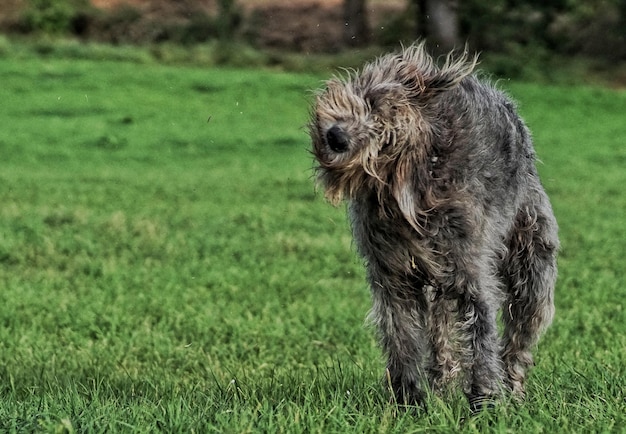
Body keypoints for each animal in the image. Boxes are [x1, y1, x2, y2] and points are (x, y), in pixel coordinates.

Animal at [310, 44, 560, 414]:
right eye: (370, 100)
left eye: (388, 135)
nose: (336, 137)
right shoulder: (393, 276)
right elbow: (401, 337)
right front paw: (408, 401)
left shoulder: (470, 270)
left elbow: (481, 331)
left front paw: (485, 402)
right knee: (440, 338)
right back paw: (441, 385)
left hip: (532, 270)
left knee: (518, 339)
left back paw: (513, 391)